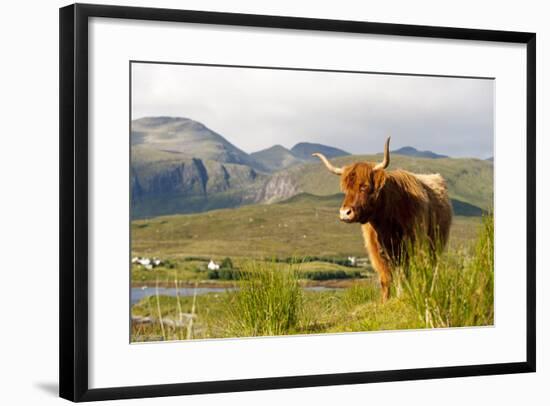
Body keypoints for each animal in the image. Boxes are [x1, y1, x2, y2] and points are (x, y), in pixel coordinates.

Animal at [312, 138, 454, 300]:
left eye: (364, 186)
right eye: (346, 189)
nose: (345, 213)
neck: (386, 224)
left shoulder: (412, 246)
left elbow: (406, 276)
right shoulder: (377, 252)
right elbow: (386, 280)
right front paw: (385, 301)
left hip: (435, 245)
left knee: (430, 268)